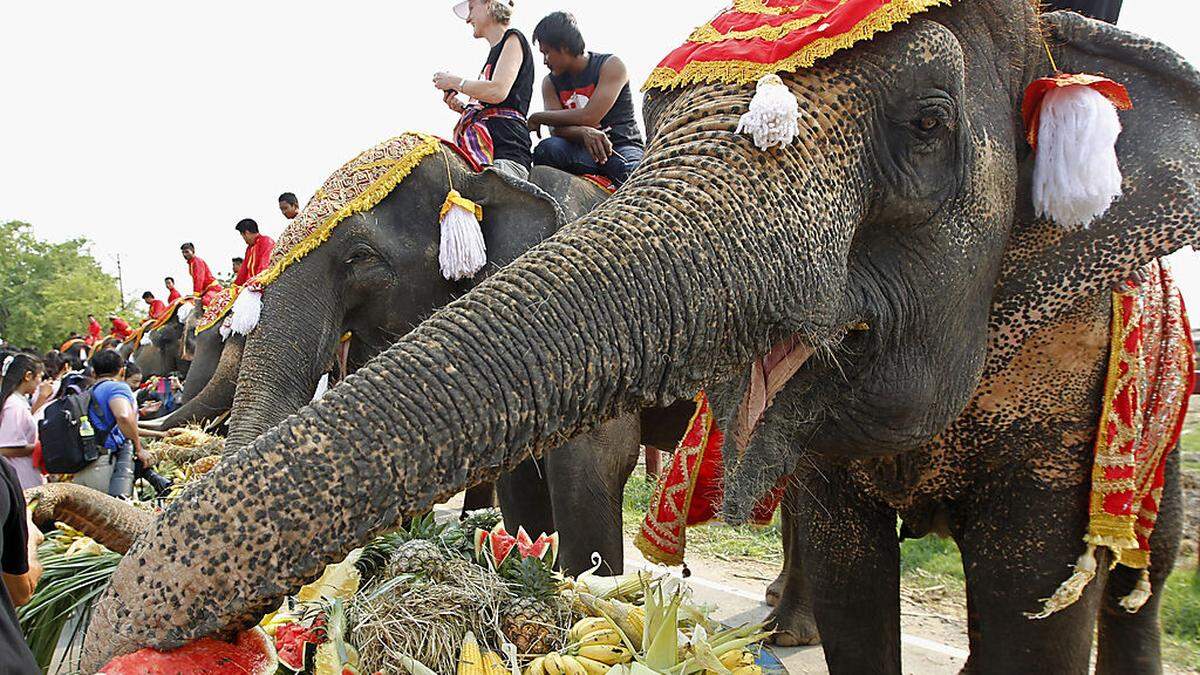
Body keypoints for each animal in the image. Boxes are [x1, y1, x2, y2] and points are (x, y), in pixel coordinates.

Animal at [79, 2, 1200, 667]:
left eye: (357, 260)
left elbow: (589, 470)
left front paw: (581, 587)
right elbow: (529, 487)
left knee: (1136, 572)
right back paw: (781, 627)